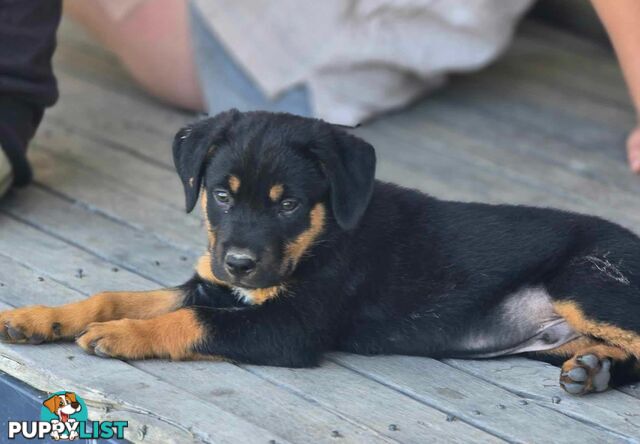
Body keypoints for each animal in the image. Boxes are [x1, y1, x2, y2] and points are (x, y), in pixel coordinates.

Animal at [1, 111, 640, 396]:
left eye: (289, 204)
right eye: (221, 194)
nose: (241, 263)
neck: (325, 233)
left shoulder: (289, 327)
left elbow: (191, 320)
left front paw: (122, 336)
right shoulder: (211, 283)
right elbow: (116, 294)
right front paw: (35, 319)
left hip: (589, 282)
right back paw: (592, 369)